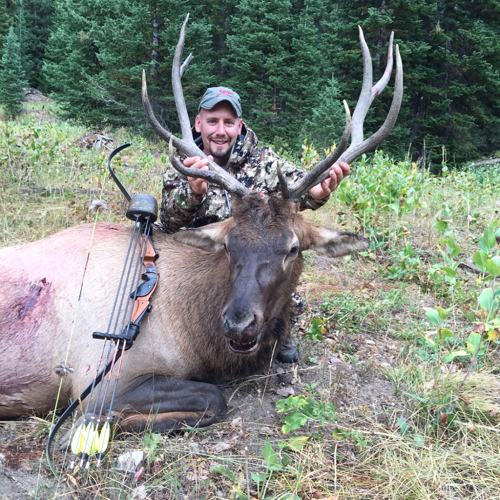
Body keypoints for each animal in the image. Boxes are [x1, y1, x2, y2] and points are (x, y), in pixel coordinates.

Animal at [0, 15, 400, 438]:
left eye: (292, 248)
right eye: (228, 245)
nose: (239, 324)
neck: (196, 333)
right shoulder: (100, 378)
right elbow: (214, 397)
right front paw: (102, 425)